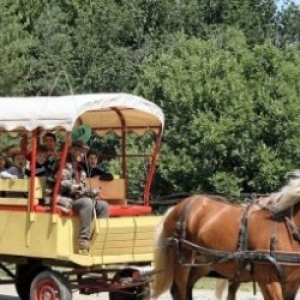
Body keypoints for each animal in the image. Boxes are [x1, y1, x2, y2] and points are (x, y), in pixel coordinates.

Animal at [152, 177, 300, 298]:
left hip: (203, 262)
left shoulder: (292, 283)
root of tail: (177, 207)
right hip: (182, 259)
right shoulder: (267, 280)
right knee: (179, 290)